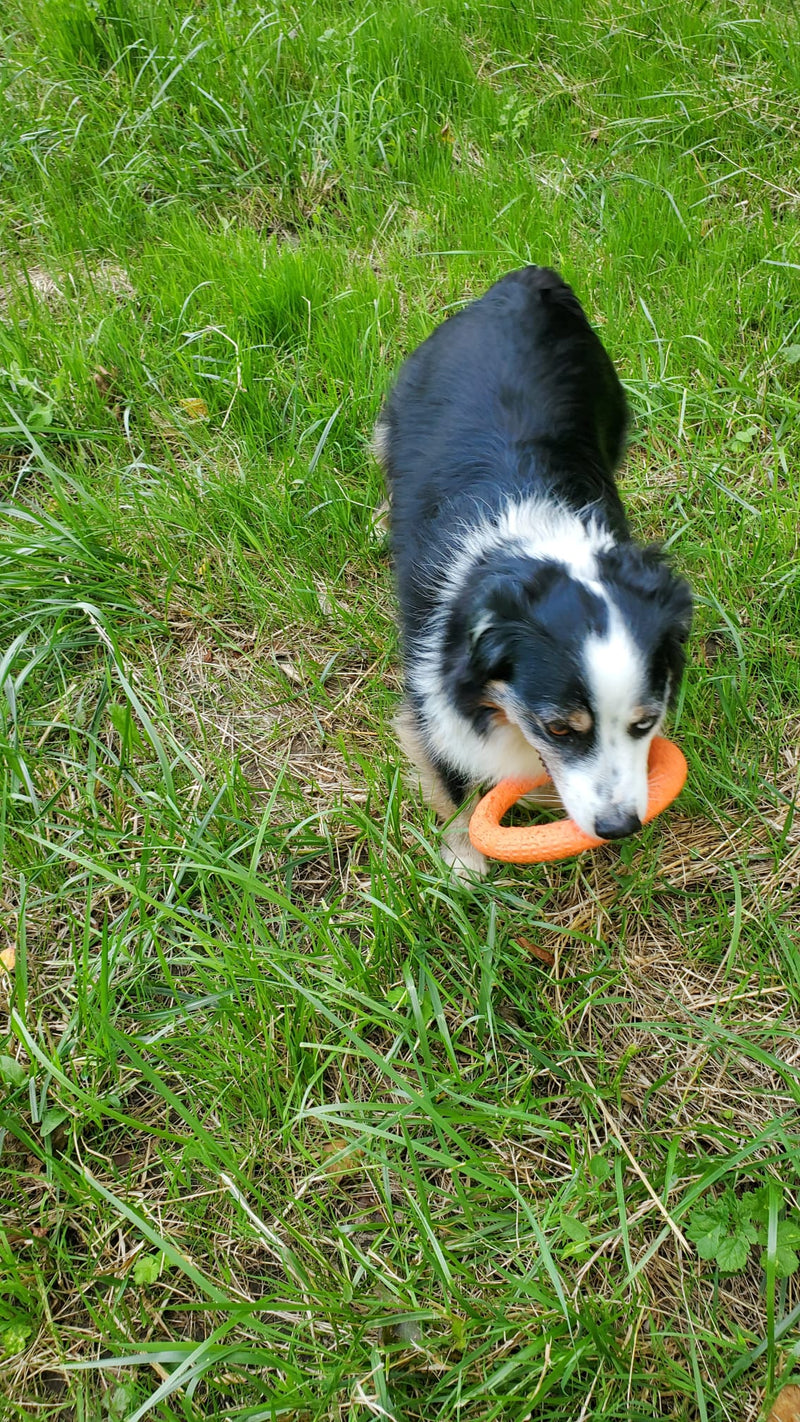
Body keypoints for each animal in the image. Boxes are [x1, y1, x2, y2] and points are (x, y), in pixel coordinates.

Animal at [375, 261, 696, 870]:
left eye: (645, 722)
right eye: (558, 728)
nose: (618, 828)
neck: (540, 549)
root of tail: (523, 283)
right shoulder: (430, 687)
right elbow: (450, 778)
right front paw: (464, 866)